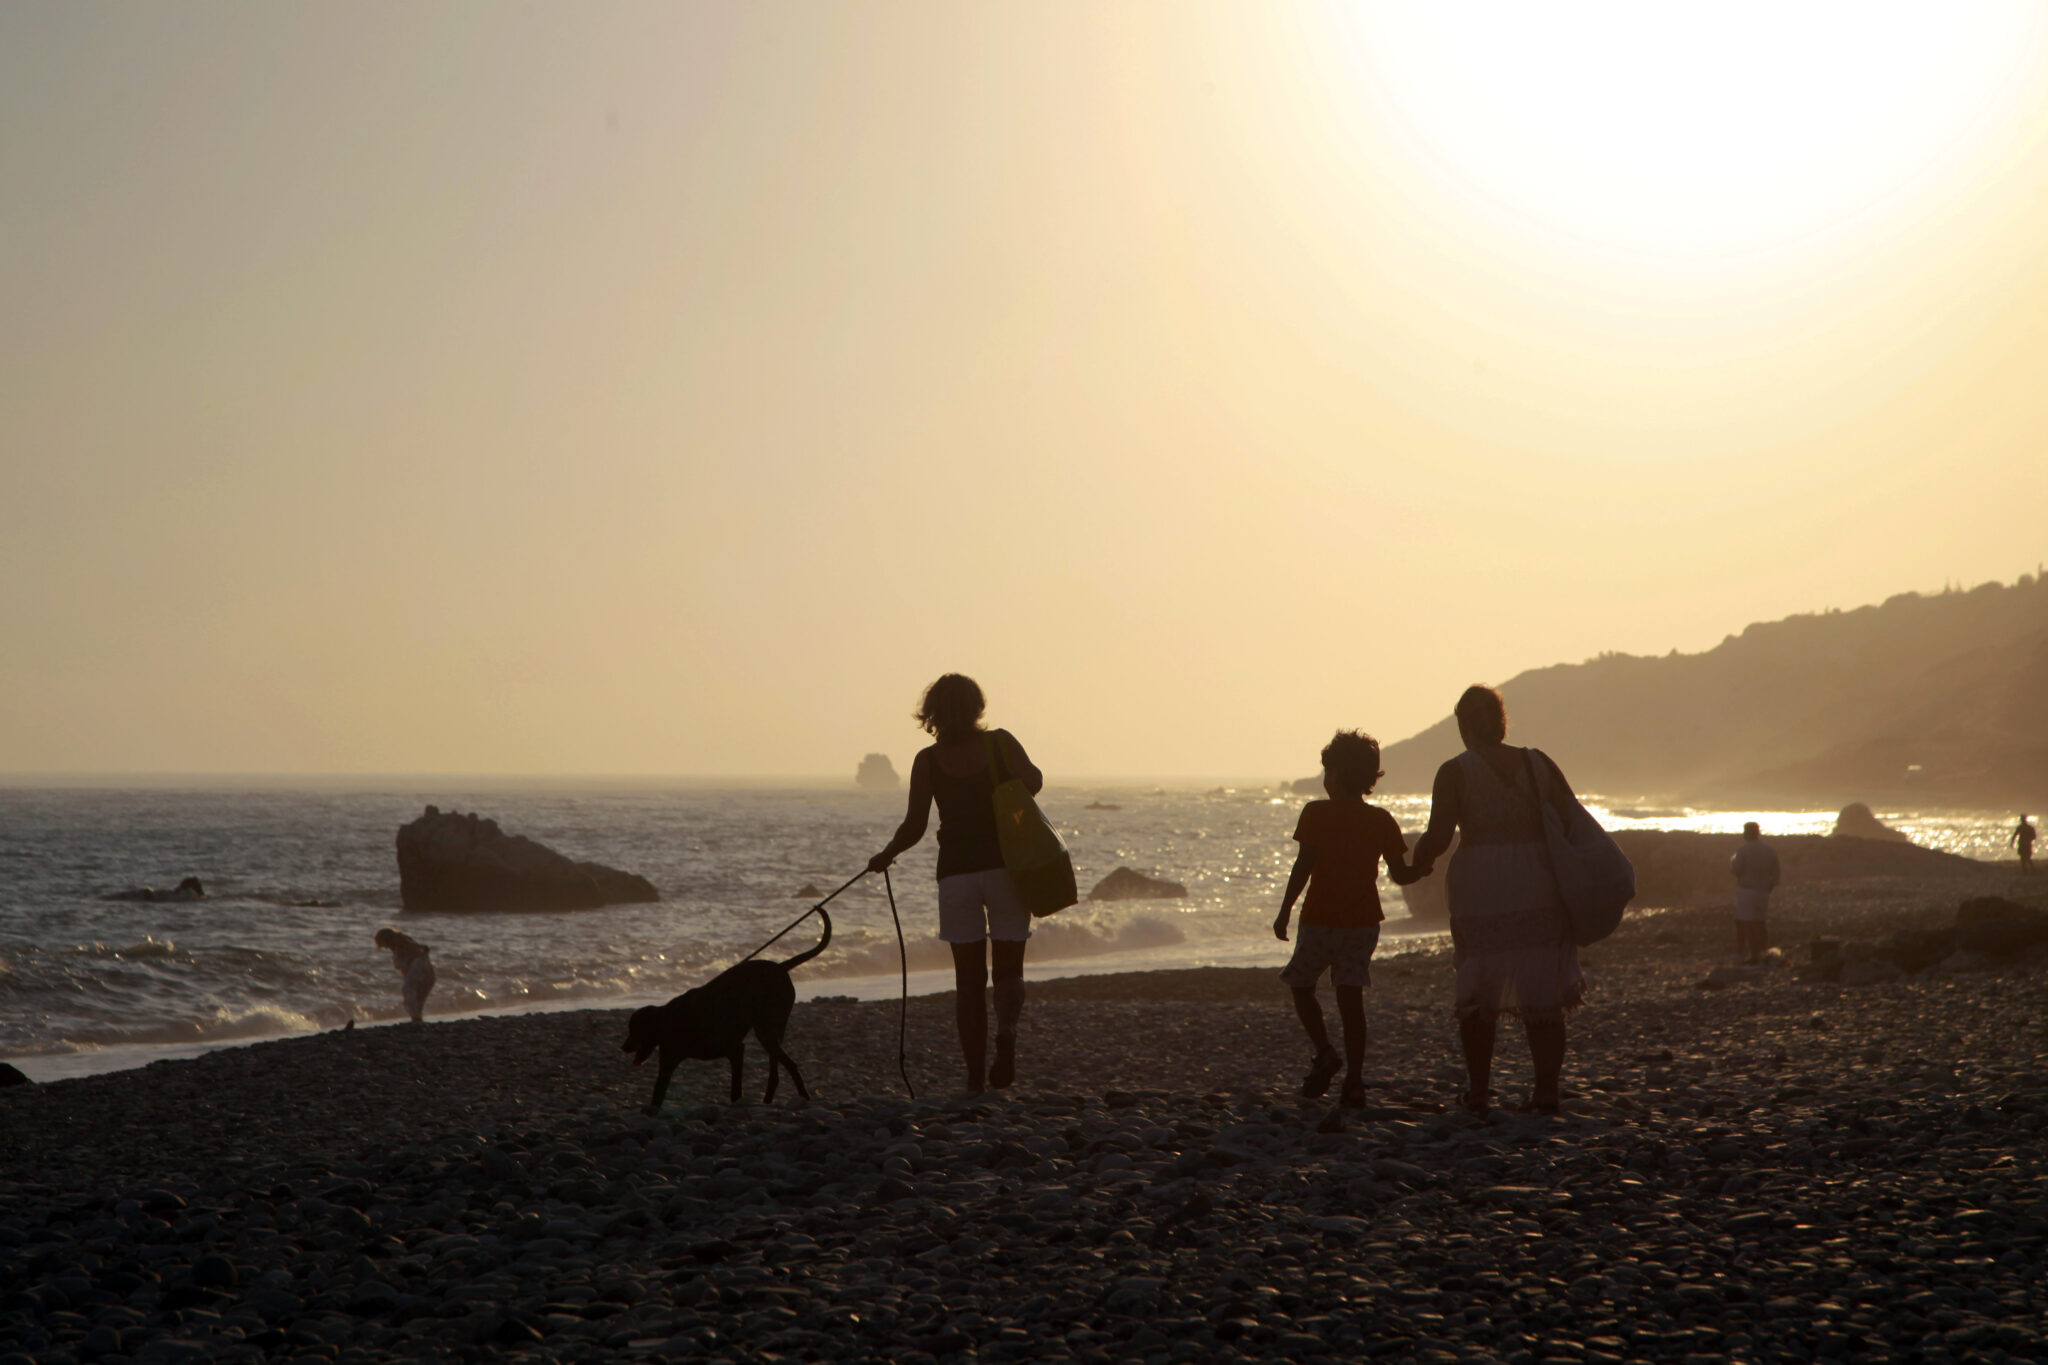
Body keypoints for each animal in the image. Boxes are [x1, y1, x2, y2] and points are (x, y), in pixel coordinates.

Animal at [618, 900, 827, 1113]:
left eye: (635, 1030)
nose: (624, 1047)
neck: (670, 1020)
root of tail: (781, 967)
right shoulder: (667, 1065)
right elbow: (657, 1096)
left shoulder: (735, 1049)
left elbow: (736, 1089)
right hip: (771, 1030)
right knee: (776, 1067)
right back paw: (770, 1099)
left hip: (767, 1028)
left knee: (790, 1064)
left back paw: (802, 1097)